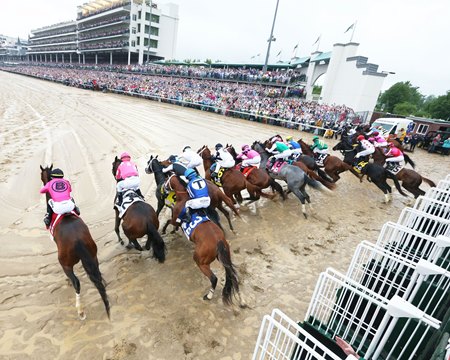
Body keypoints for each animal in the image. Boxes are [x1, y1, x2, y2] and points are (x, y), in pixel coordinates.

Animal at [39, 165, 110, 320]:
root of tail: (78, 240)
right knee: (96, 272)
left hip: (65, 262)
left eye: (41, 175)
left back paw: (80, 310)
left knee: (76, 282)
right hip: (92, 254)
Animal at [163, 173, 241, 306]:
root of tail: (219, 240)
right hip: (223, 257)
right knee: (230, 272)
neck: (184, 198)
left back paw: (209, 296)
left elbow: (169, 221)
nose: (164, 187)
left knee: (214, 278)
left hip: (201, 261)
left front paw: (166, 230)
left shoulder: (175, 219)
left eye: (168, 179)